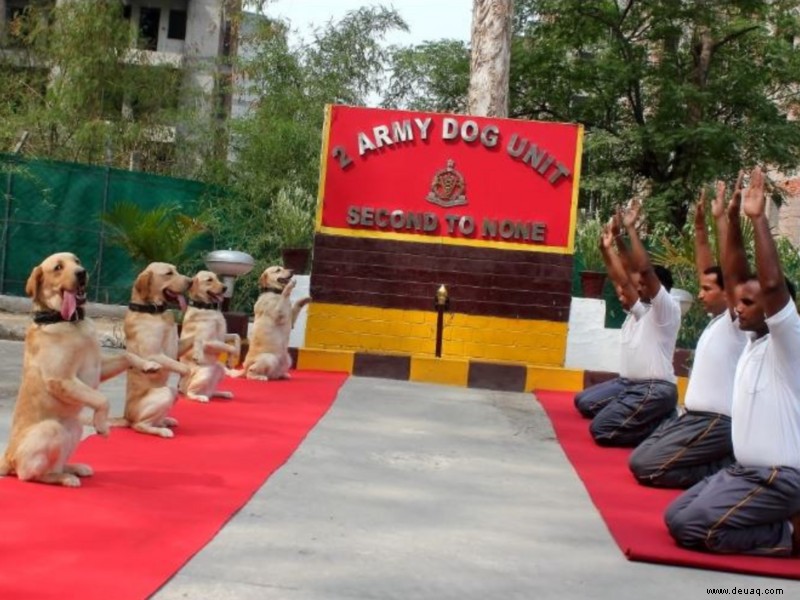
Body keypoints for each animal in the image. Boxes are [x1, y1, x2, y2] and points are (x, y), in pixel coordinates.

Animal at [0, 251, 162, 486]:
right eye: (58, 267)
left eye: (76, 261)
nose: (82, 272)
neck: (70, 321)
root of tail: (7, 457)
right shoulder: (61, 379)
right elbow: (102, 399)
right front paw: (102, 425)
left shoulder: (98, 367)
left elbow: (127, 355)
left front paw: (149, 365)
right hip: (51, 429)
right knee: (29, 475)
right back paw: (64, 478)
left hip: (74, 428)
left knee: (56, 462)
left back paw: (73, 468)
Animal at [119, 260, 193, 438]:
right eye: (168, 273)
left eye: (176, 270)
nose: (191, 282)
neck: (154, 311)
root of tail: (126, 417)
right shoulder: (153, 355)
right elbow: (185, 368)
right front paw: (185, 383)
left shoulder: (176, 349)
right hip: (164, 393)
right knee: (139, 425)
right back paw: (162, 431)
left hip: (170, 393)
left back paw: (165, 421)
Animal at [180, 268, 242, 400]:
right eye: (209, 280)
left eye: (217, 278)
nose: (225, 288)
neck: (206, 307)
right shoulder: (208, 342)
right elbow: (231, 347)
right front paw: (232, 358)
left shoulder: (222, 336)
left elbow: (236, 337)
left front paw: (231, 359)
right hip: (204, 374)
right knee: (189, 393)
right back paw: (200, 398)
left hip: (219, 369)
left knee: (211, 392)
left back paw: (224, 393)